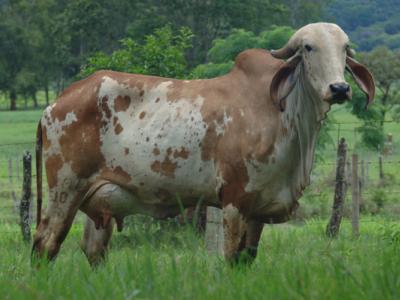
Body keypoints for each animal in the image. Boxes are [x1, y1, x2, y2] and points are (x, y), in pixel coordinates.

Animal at [32, 22, 376, 264]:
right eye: (308, 47)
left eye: (345, 48)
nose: (339, 88)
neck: (283, 114)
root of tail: (56, 103)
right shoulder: (234, 201)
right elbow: (231, 257)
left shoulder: (259, 209)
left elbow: (246, 259)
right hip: (65, 189)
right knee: (45, 244)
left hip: (97, 201)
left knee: (92, 250)